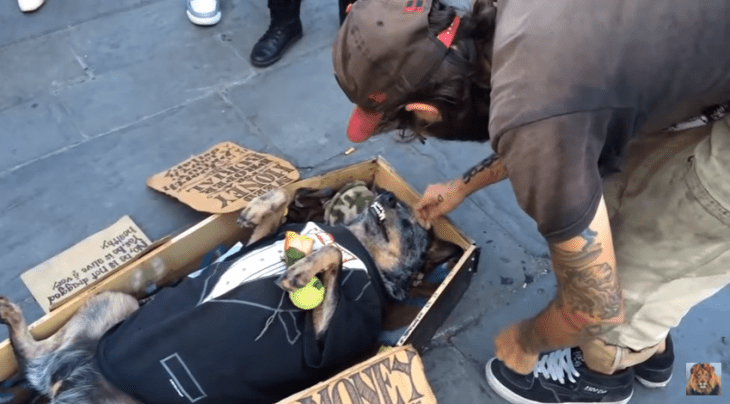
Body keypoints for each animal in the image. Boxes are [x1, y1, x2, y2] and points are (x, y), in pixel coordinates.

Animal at [0, 188, 458, 404]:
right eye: (401, 210)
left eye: (411, 225)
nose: (388, 195)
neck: (356, 241)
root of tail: (74, 378)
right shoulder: (251, 245)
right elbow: (282, 197)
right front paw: (258, 205)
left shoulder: (330, 333)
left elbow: (329, 260)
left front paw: (301, 272)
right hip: (116, 304)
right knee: (31, 356)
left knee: (31, 363)